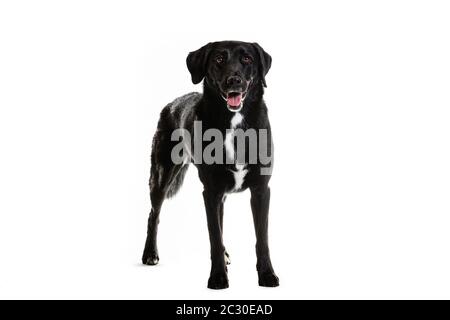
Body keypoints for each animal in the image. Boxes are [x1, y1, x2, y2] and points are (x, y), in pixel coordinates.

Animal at [142, 41, 280, 288]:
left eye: (247, 59)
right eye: (218, 59)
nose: (234, 80)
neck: (234, 123)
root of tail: (172, 103)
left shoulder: (261, 190)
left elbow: (261, 239)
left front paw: (266, 275)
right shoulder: (211, 192)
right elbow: (214, 237)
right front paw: (217, 277)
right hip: (161, 174)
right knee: (153, 215)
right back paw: (150, 254)